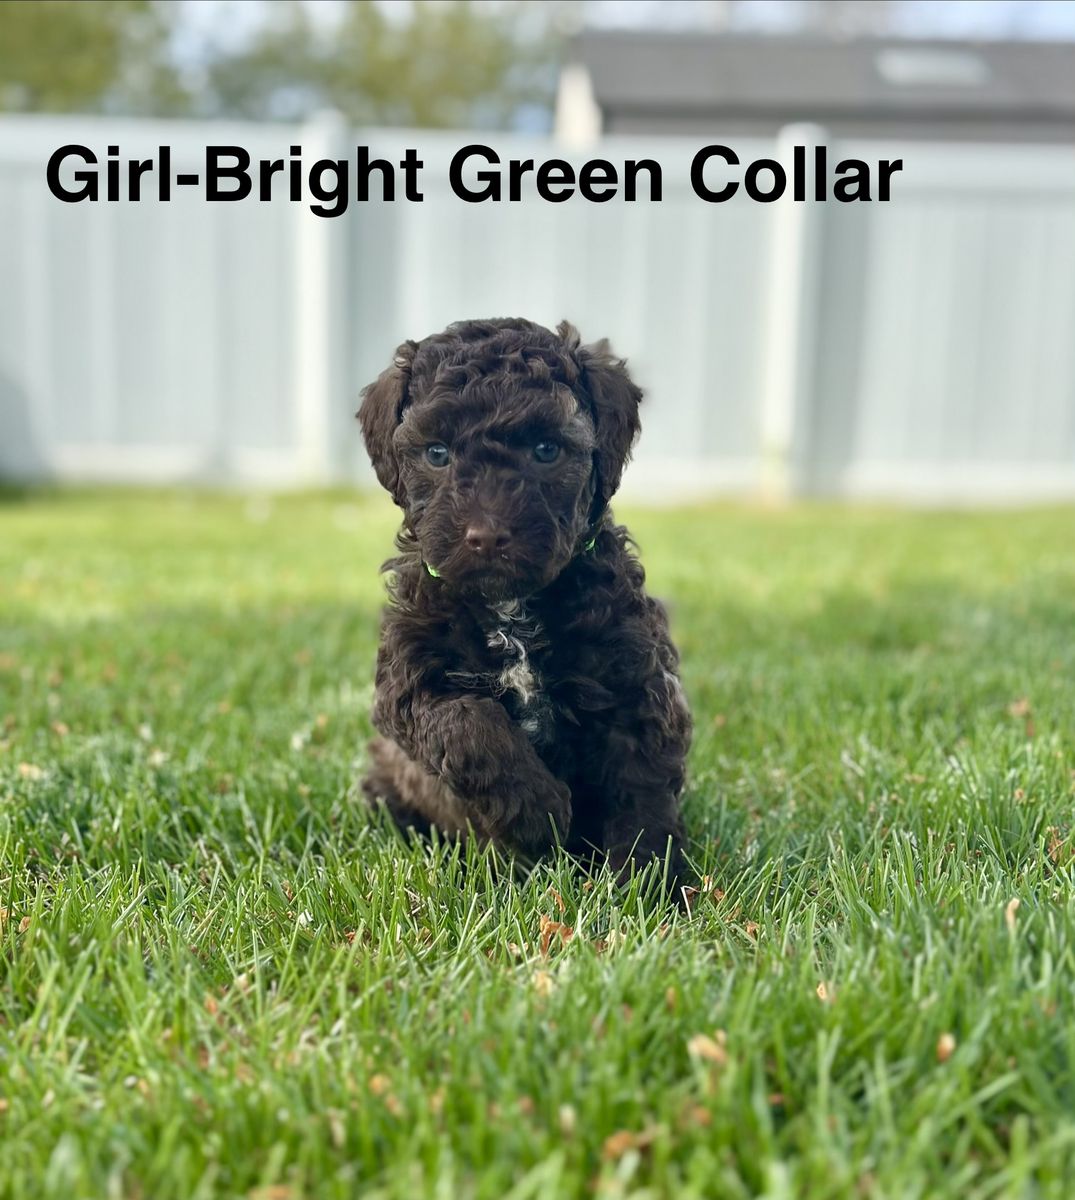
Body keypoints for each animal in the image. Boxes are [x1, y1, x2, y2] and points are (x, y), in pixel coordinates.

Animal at [358, 318, 691, 889]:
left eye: (545, 449)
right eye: (438, 453)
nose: (487, 537)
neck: (511, 607)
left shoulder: (634, 682)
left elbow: (641, 785)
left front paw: (650, 883)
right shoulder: (407, 685)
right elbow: (468, 724)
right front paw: (540, 811)